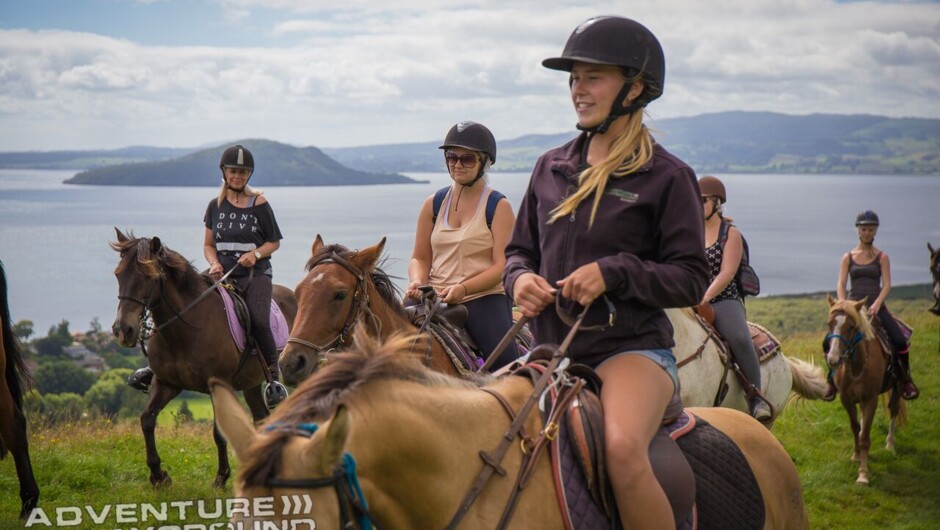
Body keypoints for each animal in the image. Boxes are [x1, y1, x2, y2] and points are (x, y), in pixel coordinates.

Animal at [109, 229, 298, 484]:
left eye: (147, 277)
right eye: (118, 274)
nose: (123, 330)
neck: (186, 329)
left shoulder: (218, 385)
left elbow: (219, 432)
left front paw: (221, 478)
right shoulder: (166, 383)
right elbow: (147, 419)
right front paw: (159, 476)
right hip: (251, 382)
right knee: (261, 417)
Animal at [828, 292, 908, 482]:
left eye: (851, 327)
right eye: (829, 324)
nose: (833, 359)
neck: (858, 367)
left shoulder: (871, 399)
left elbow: (865, 436)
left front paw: (863, 474)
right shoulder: (847, 400)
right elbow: (856, 427)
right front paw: (856, 455)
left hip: (898, 385)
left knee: (893, 410)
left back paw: (890, 444)